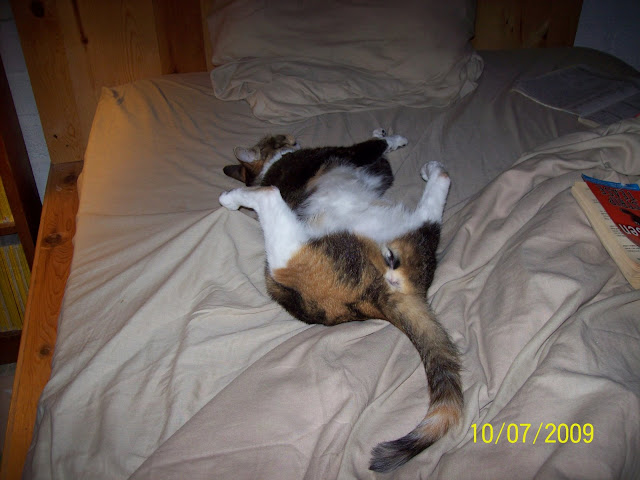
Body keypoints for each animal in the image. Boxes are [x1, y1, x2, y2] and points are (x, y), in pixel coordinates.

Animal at [219, 130, 462, 473]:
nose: (292, 137)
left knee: (432, 205)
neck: (270, 166)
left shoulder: (374, 171)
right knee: (267, 194)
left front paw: (388, 136)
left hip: (410, 235)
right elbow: (369, 148)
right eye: (279, 138)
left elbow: (382, 161)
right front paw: (390, 137)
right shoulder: (335, 153)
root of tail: (378, 294)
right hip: (286, 252)